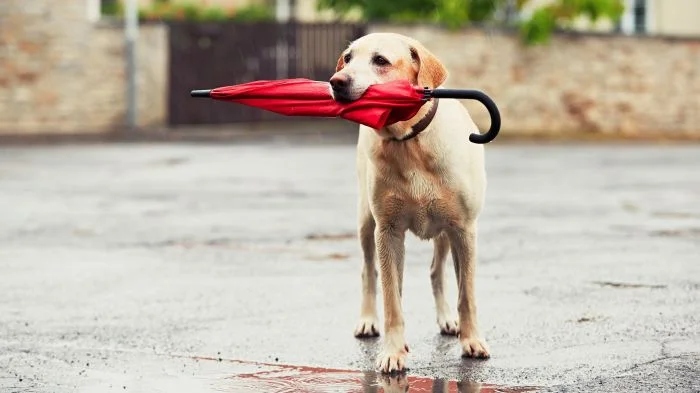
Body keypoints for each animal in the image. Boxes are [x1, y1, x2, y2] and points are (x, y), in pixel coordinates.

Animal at [330, 33, 490, 370]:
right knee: (372, 273)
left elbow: (466, 294)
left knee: (436, 271)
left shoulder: (464, 229)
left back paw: (447, 320)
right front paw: (393, 351)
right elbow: (391, 298)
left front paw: (471, 340)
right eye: (348, 58)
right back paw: (369, 320)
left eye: (380, 60)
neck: (409, 143)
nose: (336, 81)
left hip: (445, 232)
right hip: (367, 223)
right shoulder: (388, 231)